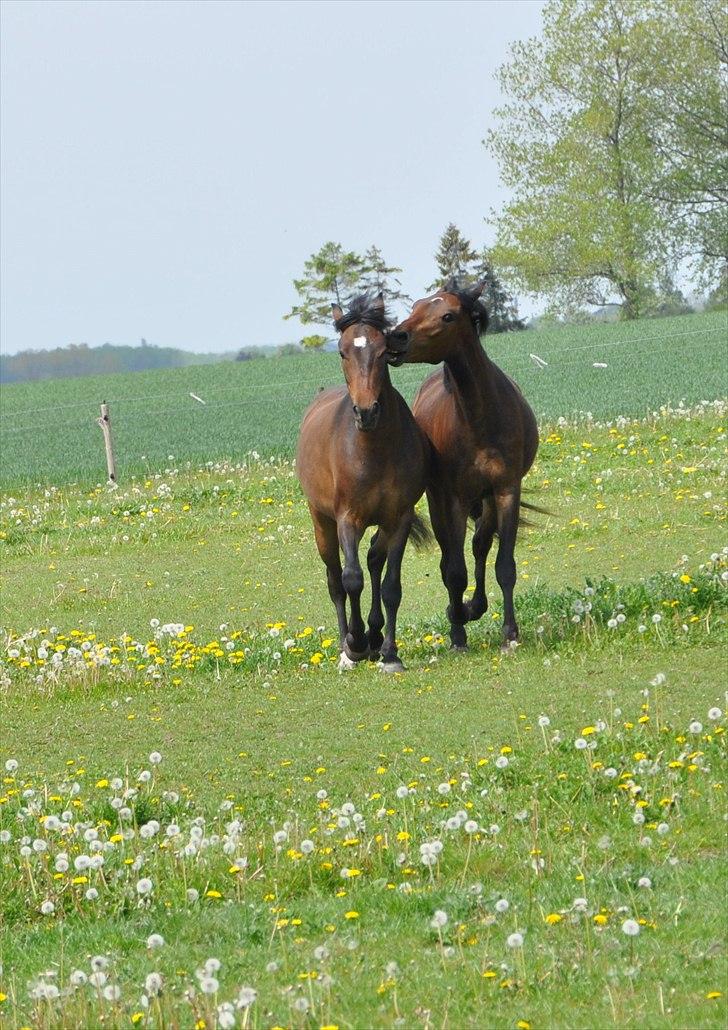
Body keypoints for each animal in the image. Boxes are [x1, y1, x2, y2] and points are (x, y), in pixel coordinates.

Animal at [298, 294, 432, 671]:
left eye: (384, 350)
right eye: (343, 352)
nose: (366, 411)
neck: (373, 449)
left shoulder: (399, 519)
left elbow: (391, 585)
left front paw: (390, 653)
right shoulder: (348, 518)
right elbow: (351, 579)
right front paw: (355, 645)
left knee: (374, 560)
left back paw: (374, 638)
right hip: (322, 521)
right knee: (335, 579)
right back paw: (349, 646)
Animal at [393, 280, 539, 650]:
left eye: (447, 315)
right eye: (415, 306)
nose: (395, 337)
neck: (479, 418)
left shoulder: (505, 491)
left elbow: (504, 565)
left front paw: (509, 633)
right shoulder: (454, 499)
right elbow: (454, 571)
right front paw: (457, 628)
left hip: (485, 500)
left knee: (480, 545)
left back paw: (477, 605)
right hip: (439, 501)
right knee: (450, 559)